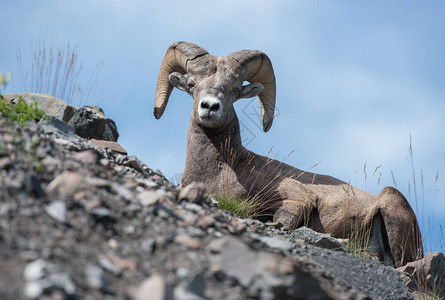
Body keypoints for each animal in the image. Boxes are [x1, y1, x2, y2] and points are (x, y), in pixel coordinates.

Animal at [154, 41, 422, 266]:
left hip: (391, 203)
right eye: (192, 85)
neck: (222, 170)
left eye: (234, 90)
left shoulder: (298, 200)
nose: (209, 107)